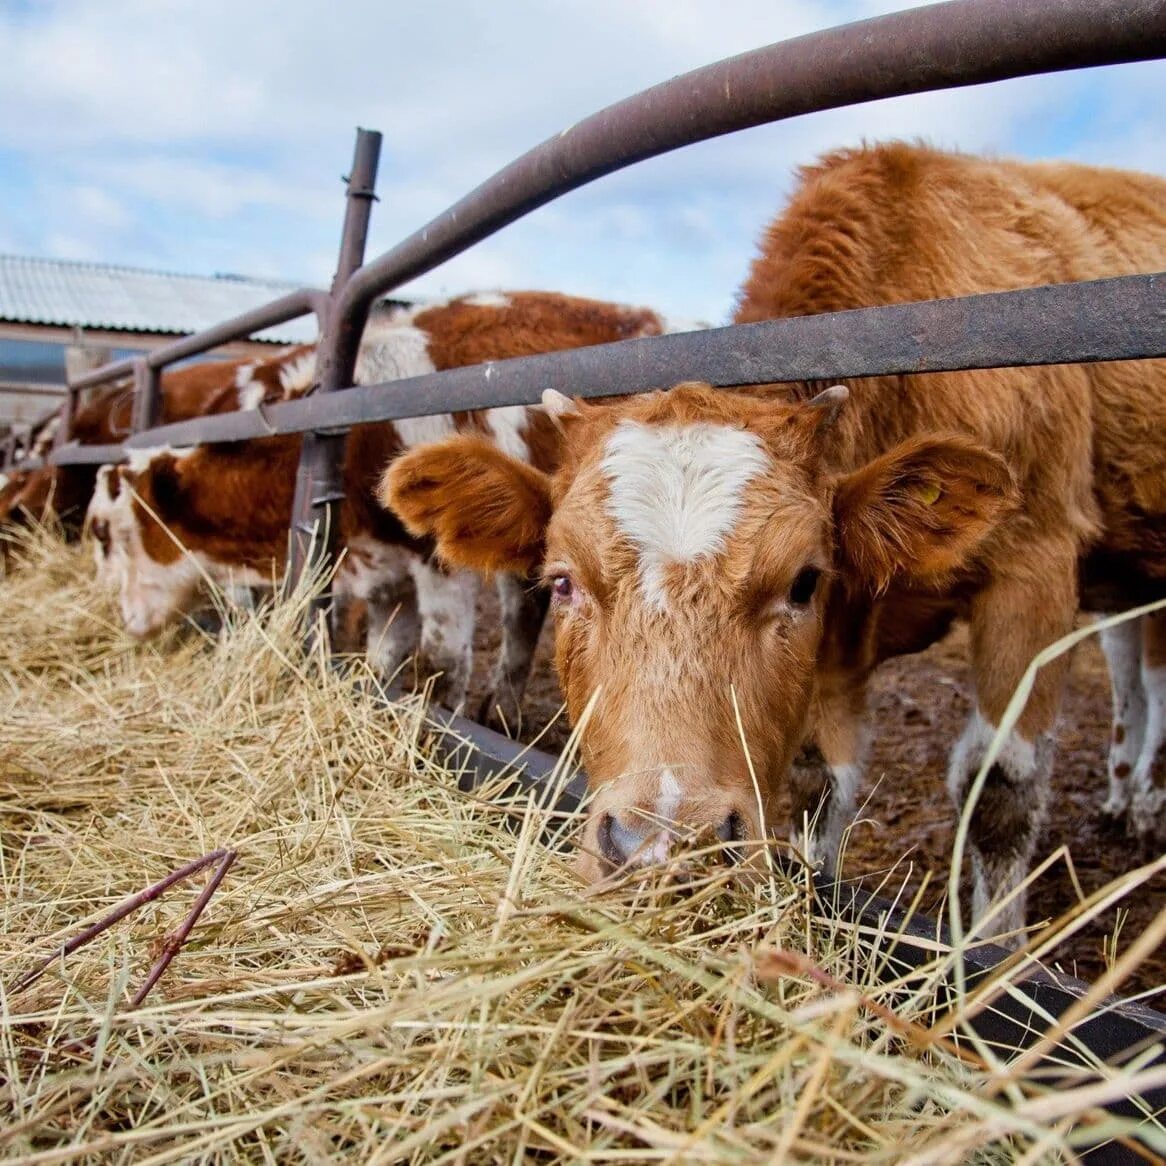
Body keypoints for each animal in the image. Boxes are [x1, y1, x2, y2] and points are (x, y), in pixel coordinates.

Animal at [97, 291, 680, 727]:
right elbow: (382, 660)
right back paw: (503, 711)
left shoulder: (439, 562)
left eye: (116, 536)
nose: (126, 621)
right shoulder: (383, 570)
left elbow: (444, 663)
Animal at [382, 141, 1166, 932]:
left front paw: (990, 943)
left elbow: (1000, 791)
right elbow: (819, 780)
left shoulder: (1033, 567)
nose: (662, 849)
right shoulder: (840, 642)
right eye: (563, 581)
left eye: (802, 581)